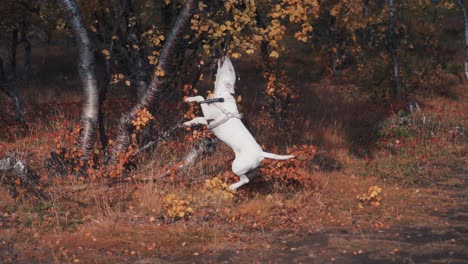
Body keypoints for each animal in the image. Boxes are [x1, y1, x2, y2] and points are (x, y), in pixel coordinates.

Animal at [183, 56, 292, 191]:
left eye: (230, 69)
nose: (225, 56)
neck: (222, 95)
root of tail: (260, 153)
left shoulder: (209, 115)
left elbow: (200, 98)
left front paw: (189, 100)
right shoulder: (208, 120)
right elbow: (197, 116)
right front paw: (188, 122)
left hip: (237, 166)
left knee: (245, 179)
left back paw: (232, 187)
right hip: (250, 166)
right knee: (255, 173)